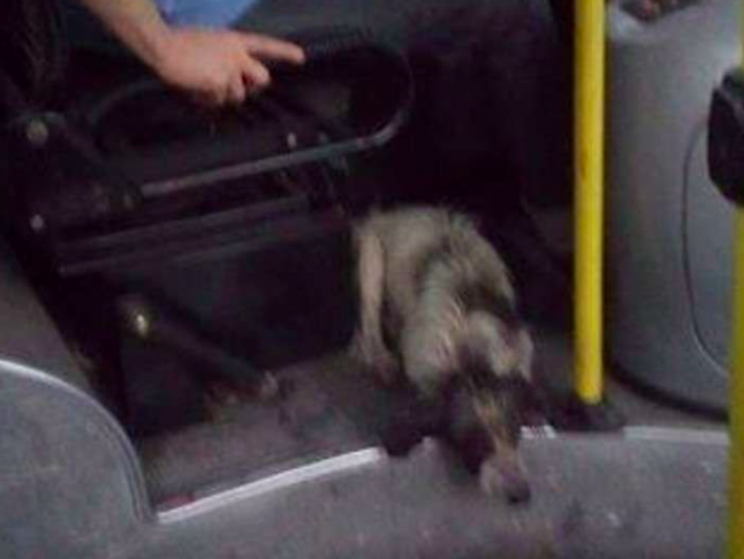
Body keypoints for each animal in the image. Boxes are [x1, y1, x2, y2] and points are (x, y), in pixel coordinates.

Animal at [352, 206, 536, 504]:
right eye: (474, 441)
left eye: (515, 429)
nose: (520, 493)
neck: (471, 356)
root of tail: (393, 212)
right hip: (372, 258)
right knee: (369, 326)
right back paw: (381, 359)